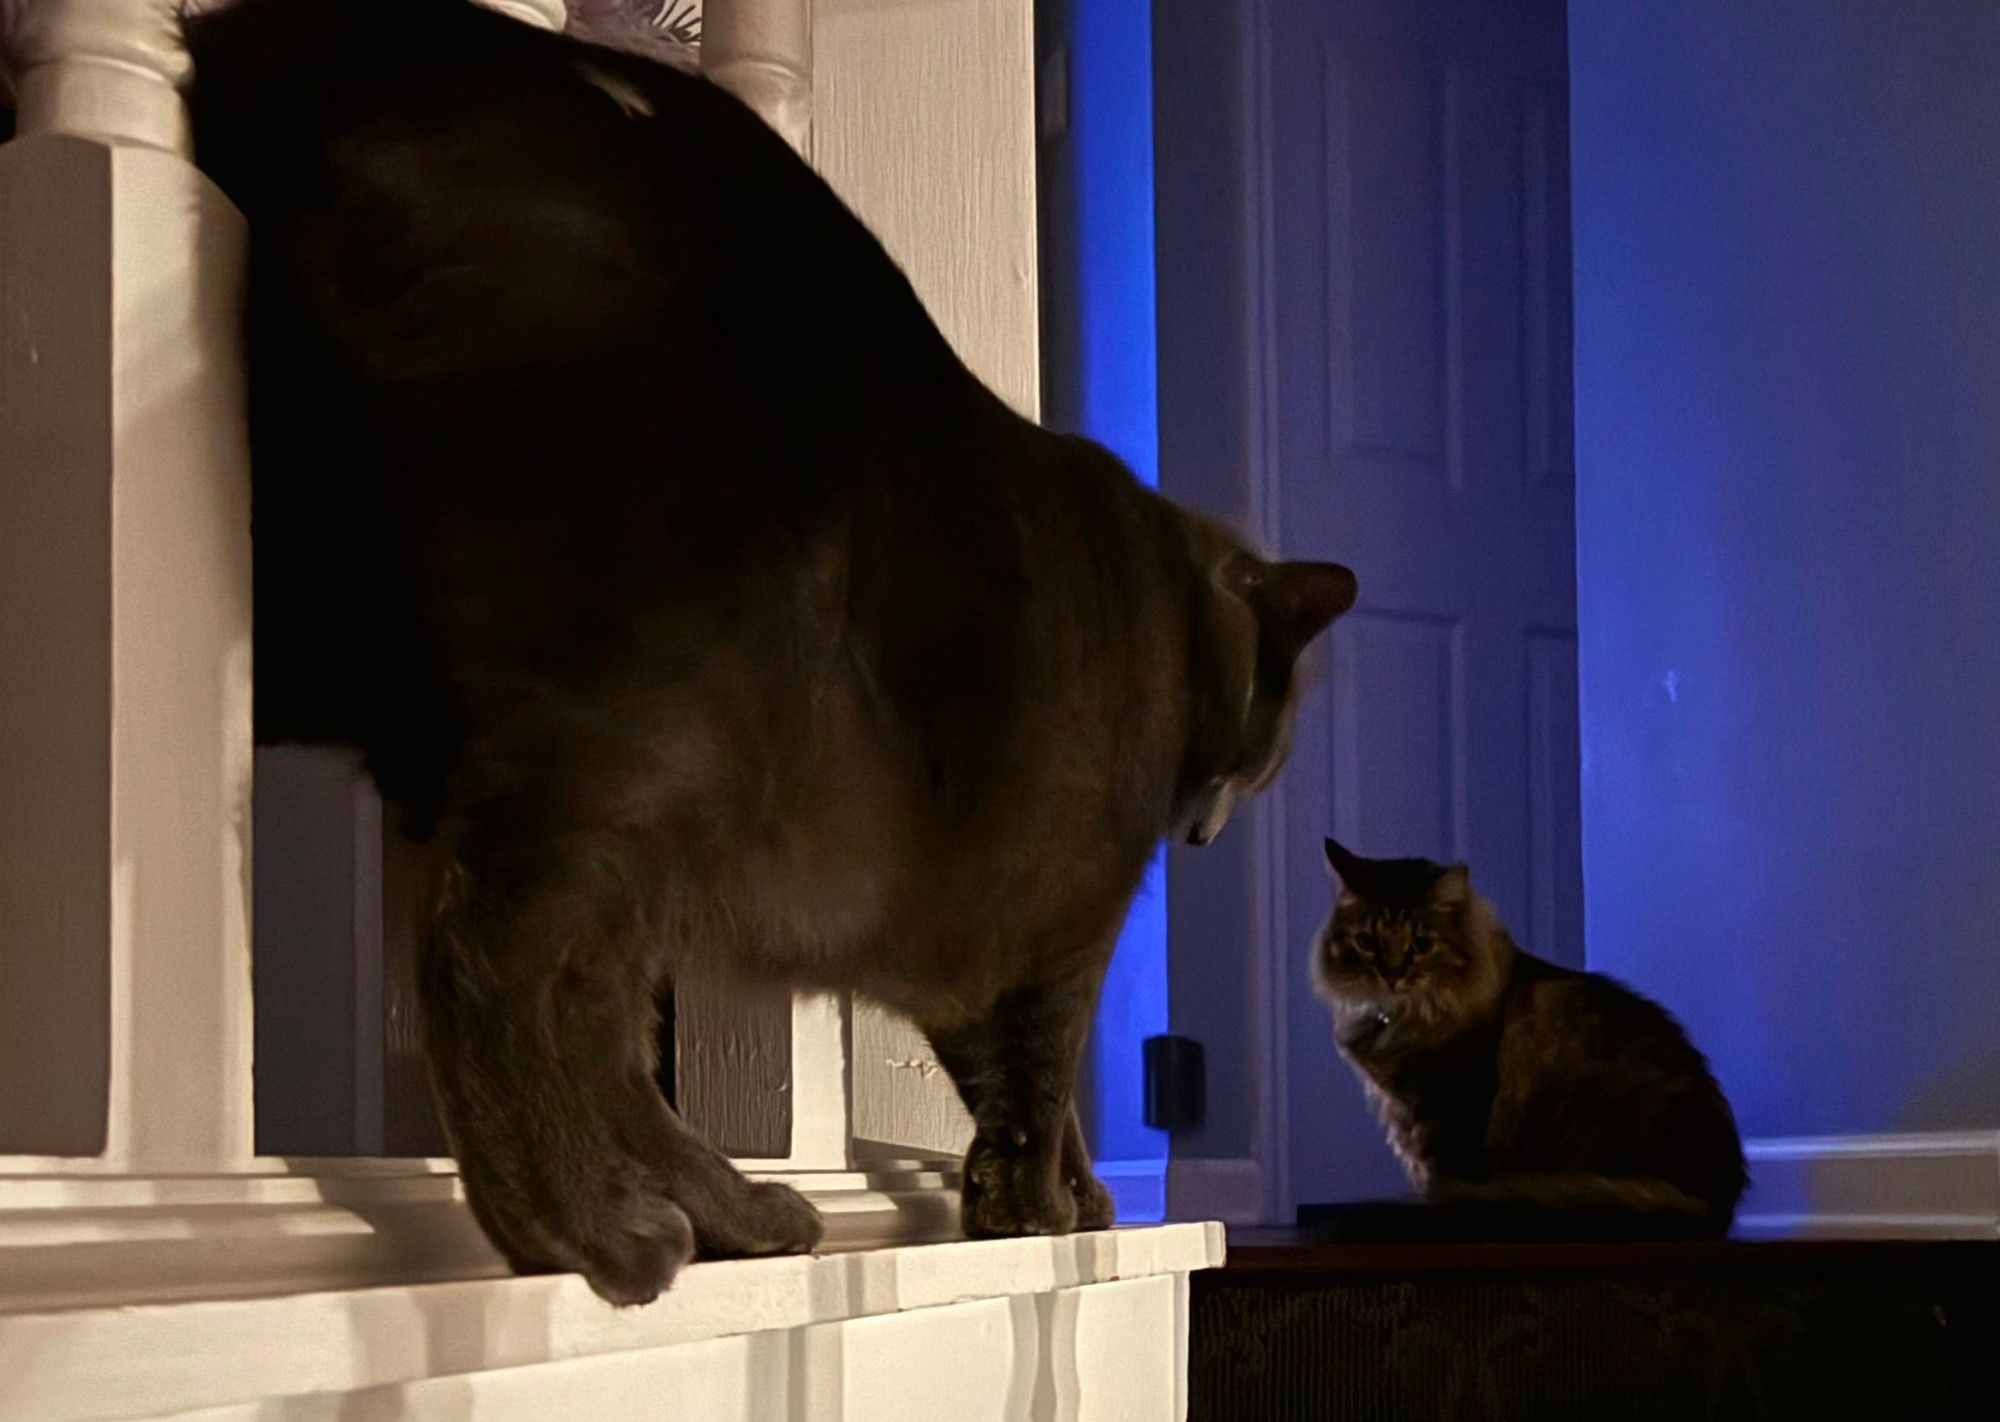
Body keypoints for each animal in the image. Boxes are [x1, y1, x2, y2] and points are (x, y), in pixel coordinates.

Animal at [1304, 840, 1744, 1240]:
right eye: (1366, 941)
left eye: (1422, 944)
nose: (1392, 977)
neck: (1405, 1016)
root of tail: (1715, 1200)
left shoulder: (1449, 1106)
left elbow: (1442, 1179)